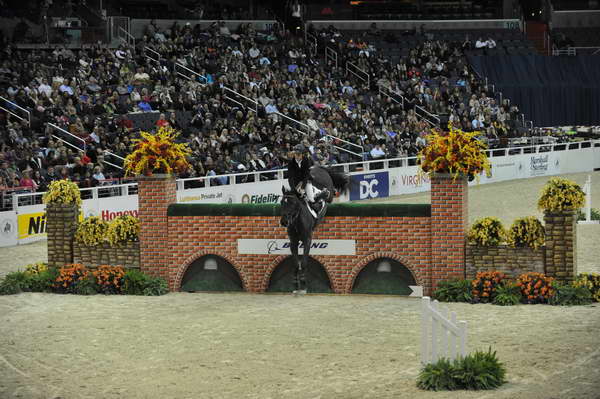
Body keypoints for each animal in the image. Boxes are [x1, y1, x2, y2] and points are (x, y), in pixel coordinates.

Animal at [280, 165, 350, 294]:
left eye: (292, 203)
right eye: (282, 202)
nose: (284, 222)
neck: (296, 221)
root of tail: (320, 167)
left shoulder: (307, 240)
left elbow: (303, 262)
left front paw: (303, 283)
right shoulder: (293, 242)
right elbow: (296, 263)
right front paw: (295, 284)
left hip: (328, 191)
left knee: (329, 195)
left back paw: (325, 194)